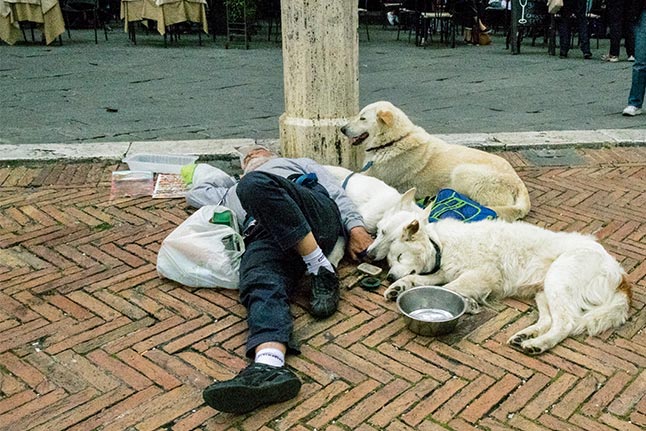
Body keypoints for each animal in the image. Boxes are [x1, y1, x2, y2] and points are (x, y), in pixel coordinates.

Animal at [380, 208, 632, 356]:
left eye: (400, 256)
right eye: (391, 261)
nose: (389, 276)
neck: (440, 244)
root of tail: (620, 274)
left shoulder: (483, 274)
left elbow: (447, 288)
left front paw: (466, 303)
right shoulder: (445, 271)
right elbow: (419, 279)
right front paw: (398, 287)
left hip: (558, 280)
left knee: (566, 323)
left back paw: (538, 344)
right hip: (544, 292)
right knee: (549, 320)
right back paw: (526, 336)